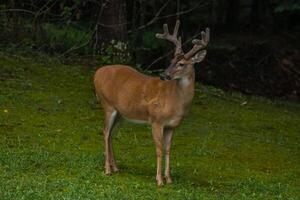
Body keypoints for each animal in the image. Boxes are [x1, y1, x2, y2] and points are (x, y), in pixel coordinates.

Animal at [95, 20, 210, 186]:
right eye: (171, 61)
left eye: (181, 63)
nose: (163, 75)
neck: (176, 103)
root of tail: (96, 73)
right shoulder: (156, 121)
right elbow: (159, 149)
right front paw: (159, 180)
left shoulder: (172, 126)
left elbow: (168, 149)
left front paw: (169, 179)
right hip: (107, 104)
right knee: (104, 132)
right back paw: (107, 170)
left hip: (121, 114)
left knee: (111, 134)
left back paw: (115, 167)